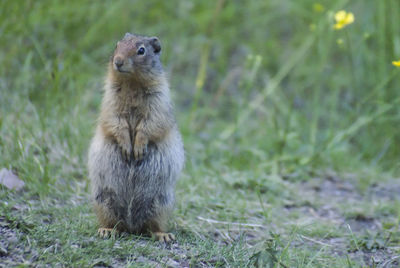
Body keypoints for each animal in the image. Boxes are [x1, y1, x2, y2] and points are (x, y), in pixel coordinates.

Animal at [87, 32, 184, 242]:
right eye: (117, 45)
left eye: (141, 50)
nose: (118, 61)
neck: (131, 83)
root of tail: (132, 226)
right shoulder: (110, 98)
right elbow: (114, 120)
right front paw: (126, 147)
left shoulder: (159, 98)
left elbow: (151, 123)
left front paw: (138, 149)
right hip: (103, 198)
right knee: (113, 222)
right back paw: (107, 230)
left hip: (161, 202)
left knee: (151, 226)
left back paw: (163, 235)